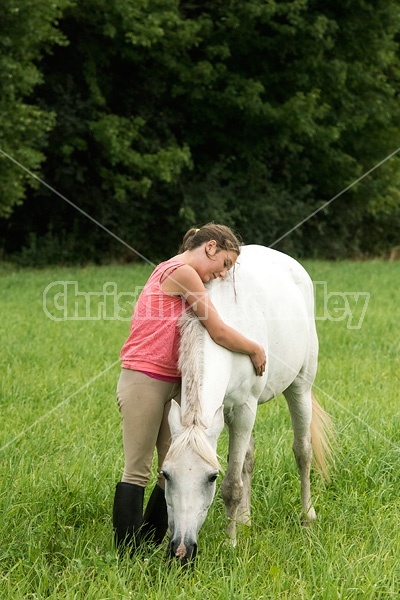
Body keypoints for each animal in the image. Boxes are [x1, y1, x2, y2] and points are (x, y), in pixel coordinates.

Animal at [161, 244, 332, 564]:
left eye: (211, 477)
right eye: (166, 475)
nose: (182, 549)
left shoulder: (243, 411)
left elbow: (232, 485)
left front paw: (230, 544)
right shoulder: (227, 413)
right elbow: (240, 468)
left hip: (300, 388)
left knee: (303, 452)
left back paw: (307, 515)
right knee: (249, 459)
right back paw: (245, 519)